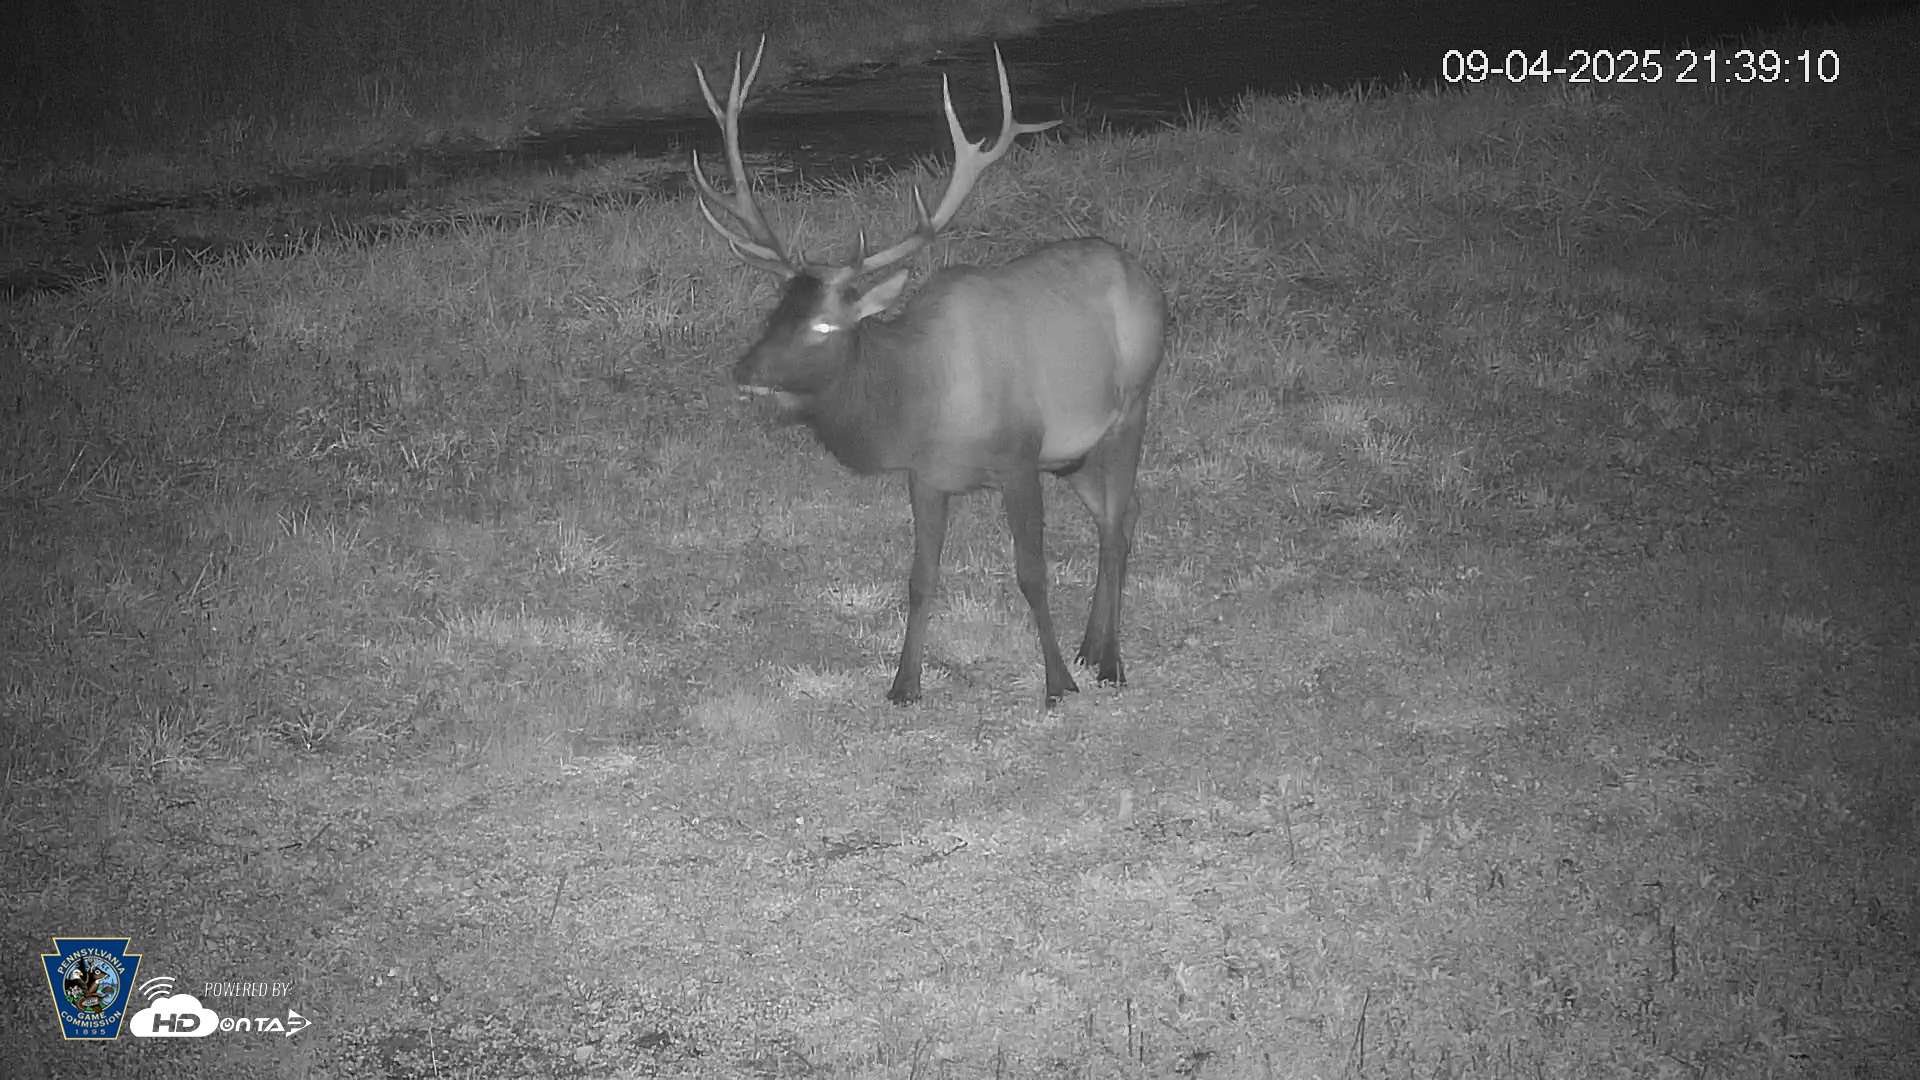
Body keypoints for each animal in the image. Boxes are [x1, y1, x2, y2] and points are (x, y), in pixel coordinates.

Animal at [692, 38, 1165, 707]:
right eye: (775, 312)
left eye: (823, 327)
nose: (743, 370)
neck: (918, 397)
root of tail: (1144, 275)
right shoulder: (926, 476)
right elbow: (920, 576)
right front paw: (904, 684)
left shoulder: (1019, 456)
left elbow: (1031, 573)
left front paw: (1056, 685)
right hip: (1075, 451)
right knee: (1116, 515)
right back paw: (1092, 645)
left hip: (1133, 405)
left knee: (1120, 521)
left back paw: (1111, 662)